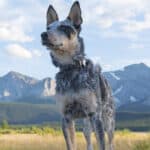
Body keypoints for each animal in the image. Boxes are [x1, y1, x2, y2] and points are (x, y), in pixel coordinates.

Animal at [41, 1, 115, 150]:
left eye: (64, 27)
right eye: (48, 27)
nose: (43, 34)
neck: (70, 69)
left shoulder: (95, 115)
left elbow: (102, 144)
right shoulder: (66, 117)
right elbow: (71, 145)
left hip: (108, 123)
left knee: (110, 143)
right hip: (86, 127)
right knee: (89, 143)